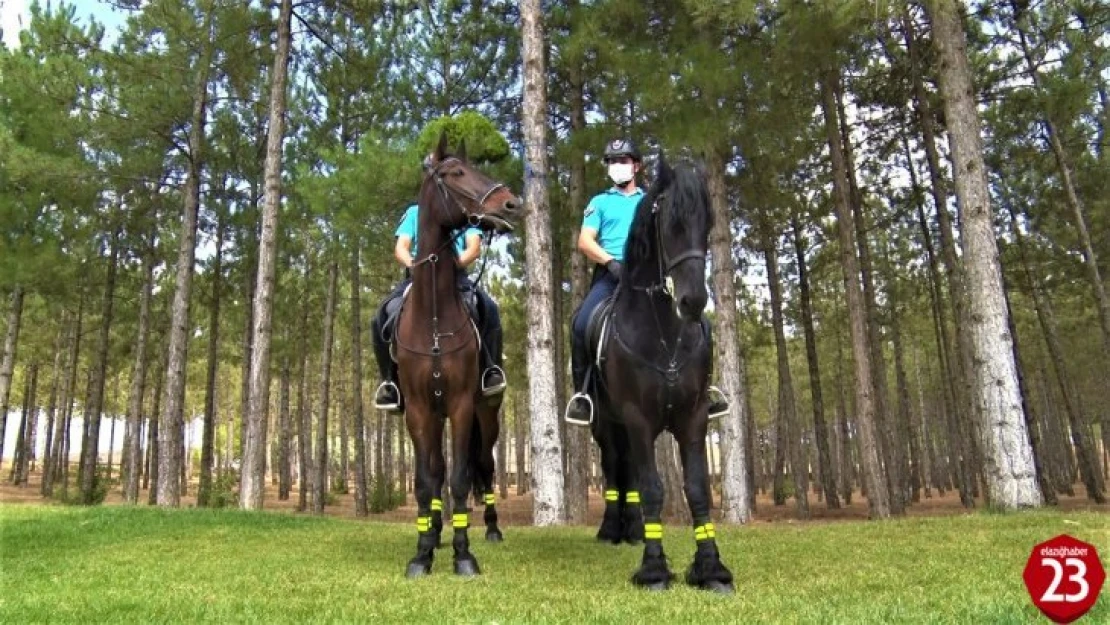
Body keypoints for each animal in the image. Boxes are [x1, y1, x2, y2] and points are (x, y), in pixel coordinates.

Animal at [399, 134, 519, 581]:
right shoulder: (420, 410)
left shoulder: (463, 406)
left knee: (485, 467)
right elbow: (426, 481)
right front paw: (423, 552)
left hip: (488, 415)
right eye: (455, 173)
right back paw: (435, 533)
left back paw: (491, 530)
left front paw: (463, 554)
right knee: (437, 471)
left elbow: (462, 479)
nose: (511, 204)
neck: (433, 317)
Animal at [586, 155, 732, 590]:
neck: (664, 334)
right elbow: (652, 488)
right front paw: (653, 569)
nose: (693, 301)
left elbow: (697, 488)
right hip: (606, 423)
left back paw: (632, 530)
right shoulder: (638, 417)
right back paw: (611, 529)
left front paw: (711, 568)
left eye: (707, 223)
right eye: (670, 223)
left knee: (627, 471)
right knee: (613, 467)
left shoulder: (693, 416)